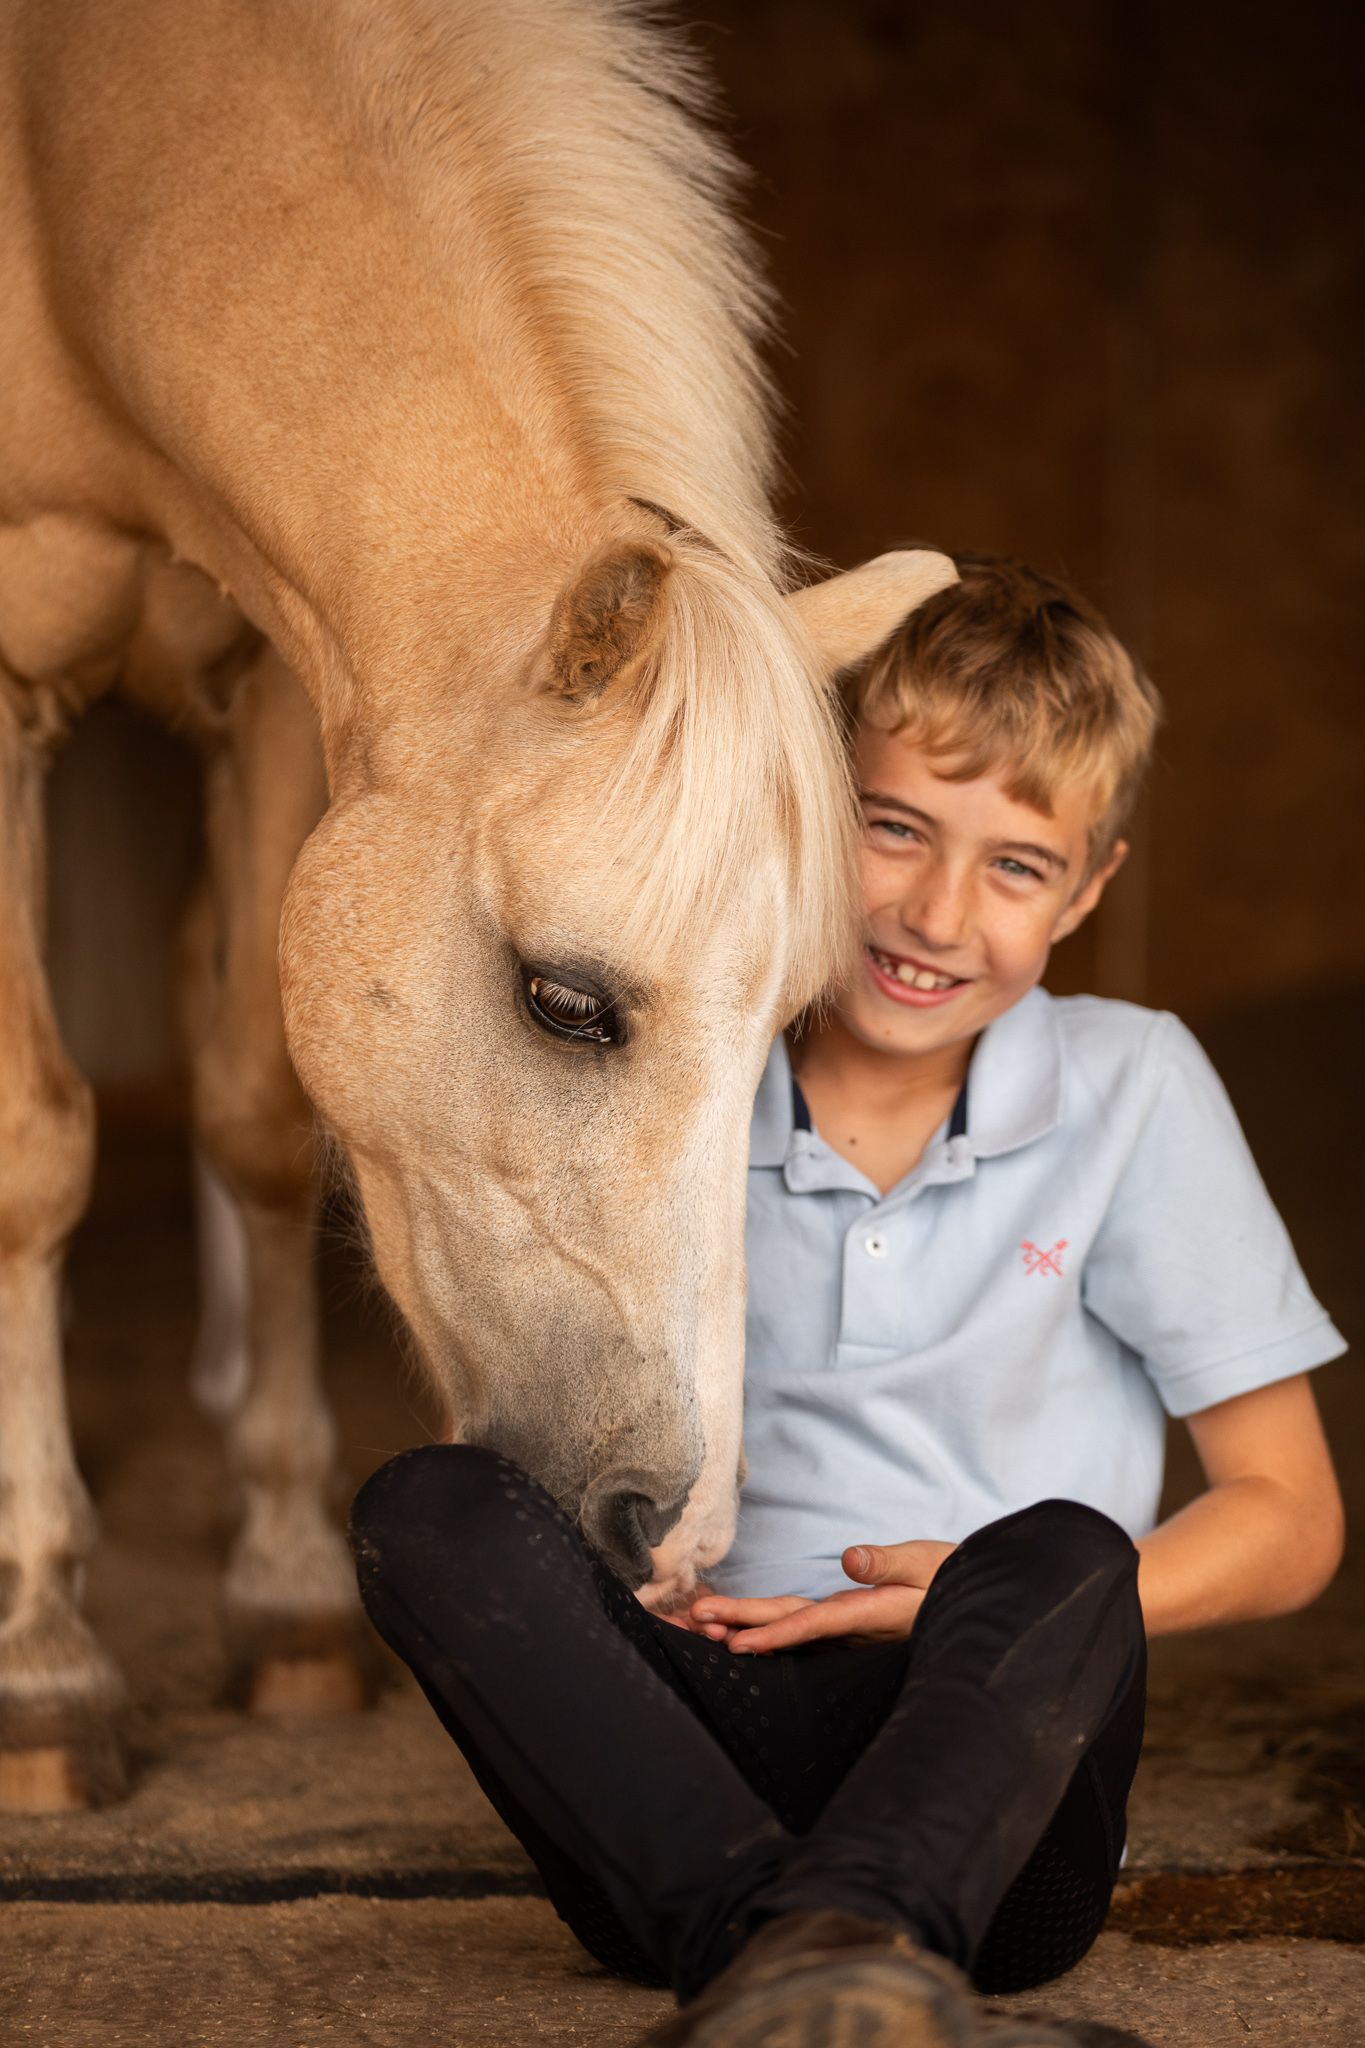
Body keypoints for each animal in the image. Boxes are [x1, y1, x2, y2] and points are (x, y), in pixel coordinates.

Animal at [0, 0, 953, 1810]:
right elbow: (36, 1149)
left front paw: (288, 1592)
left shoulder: (284, 680)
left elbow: (249, 1113)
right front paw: (43, 1656)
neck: (77, 176)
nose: (676, 1539)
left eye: (785, 1032)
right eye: (566, 1001)